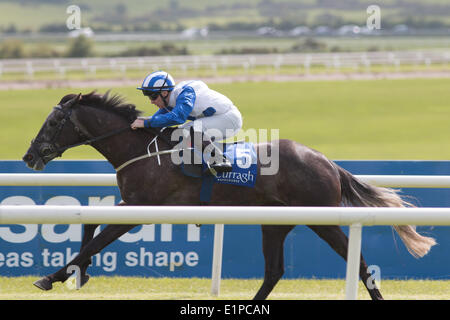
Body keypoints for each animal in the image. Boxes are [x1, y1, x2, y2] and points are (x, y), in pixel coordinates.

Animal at [22, 90, 436, 300]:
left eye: (54, 122)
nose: (29, 156)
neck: (144, 148)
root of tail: (327, 162)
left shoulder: (143, 208)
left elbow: (97, 240)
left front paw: (52, 276)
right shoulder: (131, 203)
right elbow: (89, 224)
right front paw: (76, 273)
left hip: (323, 218)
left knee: (361, 263)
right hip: (275, 224)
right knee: (274, 271)